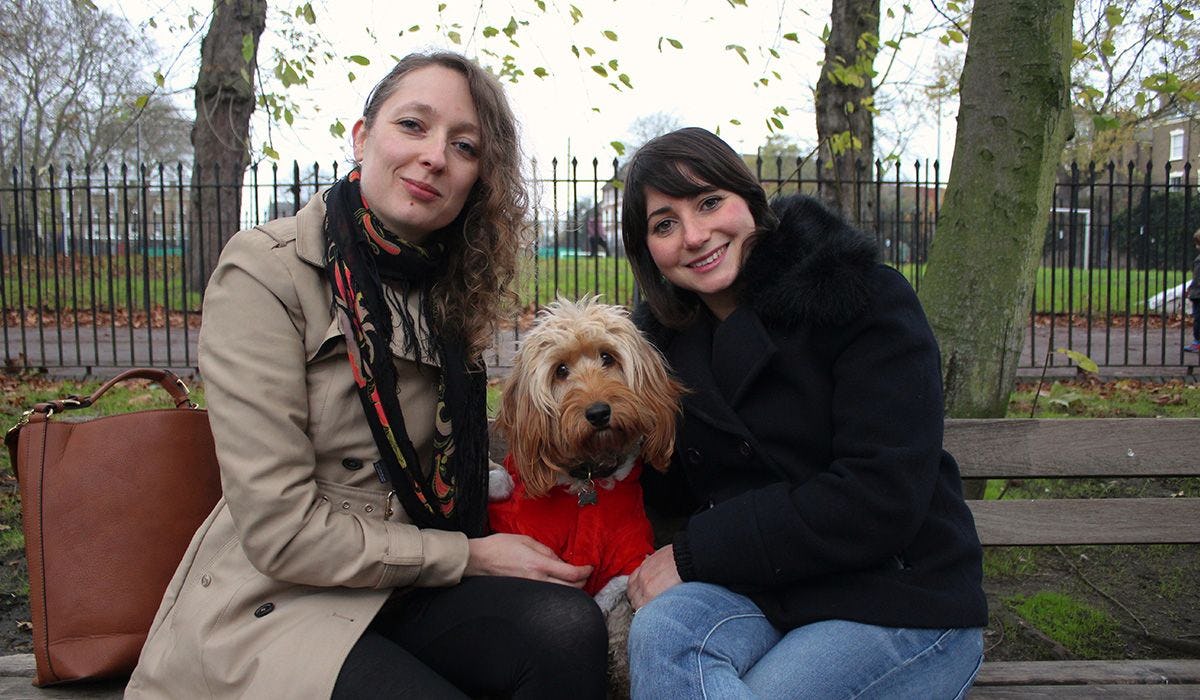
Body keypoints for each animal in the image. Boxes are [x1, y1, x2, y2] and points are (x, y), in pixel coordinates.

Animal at [484, 298, 676, 691]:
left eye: (607, 357)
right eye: (560, 370)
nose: (599, 412)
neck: (588, 482)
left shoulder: (624, 567)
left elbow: (621, 638)